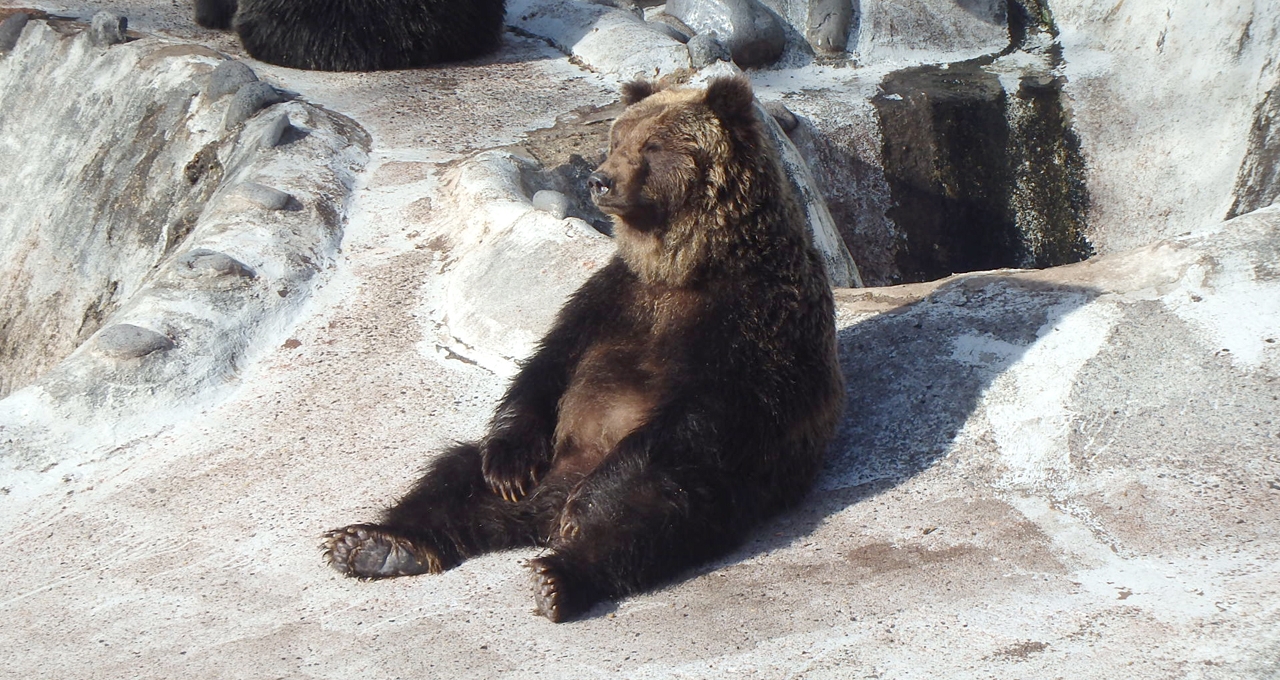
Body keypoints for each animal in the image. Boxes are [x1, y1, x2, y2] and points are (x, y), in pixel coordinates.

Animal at [327, 75, 849, 622]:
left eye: (653, 146)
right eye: (616, 139)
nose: (600, 180)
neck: (687, 266)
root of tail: (538, 514)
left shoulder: (756, 316)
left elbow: (704, 412)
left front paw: (591, 507)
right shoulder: (611, 299)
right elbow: (547, 367)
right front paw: (508, 464)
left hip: (726, 487)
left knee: (656, 512)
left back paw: (559, 572)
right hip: (549, 458)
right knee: (451, 476)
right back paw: (378, 542)